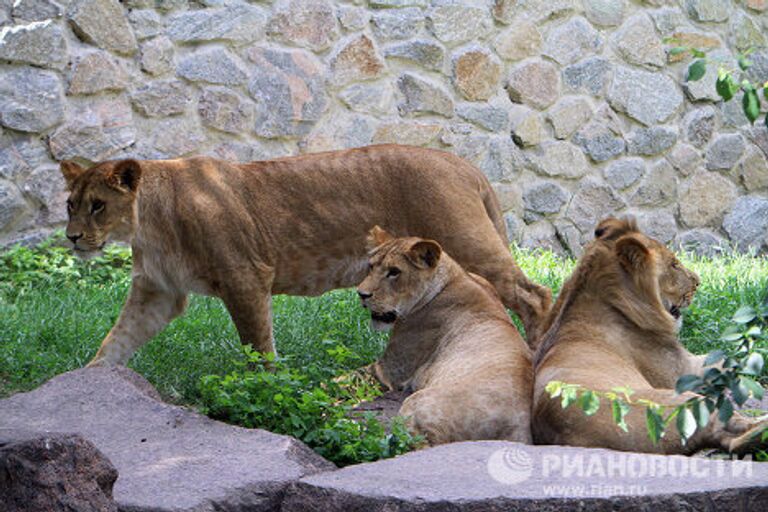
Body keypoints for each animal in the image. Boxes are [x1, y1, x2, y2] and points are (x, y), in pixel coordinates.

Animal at [356, 227, 532, 444]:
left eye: (394, 272)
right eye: (371, 267)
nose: (361, 294)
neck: (453, 276)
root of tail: (520, 431)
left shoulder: (389, 371)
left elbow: (341, 378)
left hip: (416, 402)